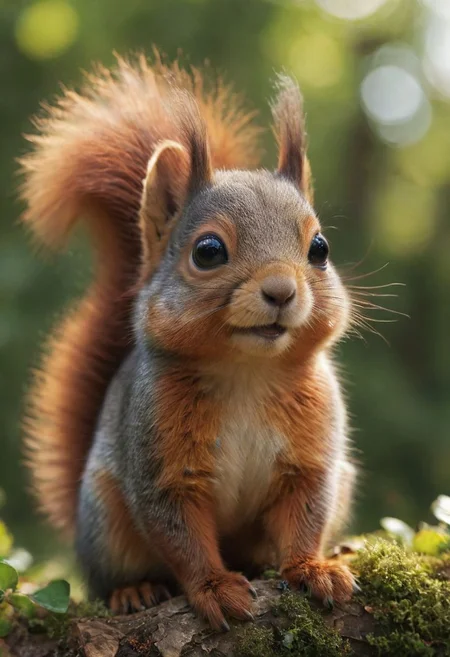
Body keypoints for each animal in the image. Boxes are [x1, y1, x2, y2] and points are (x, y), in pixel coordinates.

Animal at [20, 54, 357, 630]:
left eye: (320, 248)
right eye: (208, 251)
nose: (281, 291)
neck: (247, 371)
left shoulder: (312, 456)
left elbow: (305, 513)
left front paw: (312, 568)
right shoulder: (162, 465)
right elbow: (182, 537)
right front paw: (215, 587)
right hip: (106, 518)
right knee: (114, 573)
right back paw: (132, 591)